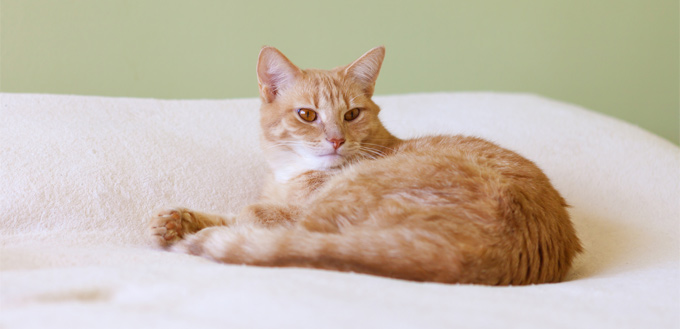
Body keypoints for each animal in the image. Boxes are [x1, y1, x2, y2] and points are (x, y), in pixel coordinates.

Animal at [150, 46, 584, 284]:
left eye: (352, 114)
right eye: (307, 115)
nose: (336, 139)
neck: (290, 175)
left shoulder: (290, 211)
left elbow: (250, 213)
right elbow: (231, 213)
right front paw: (175, 221)